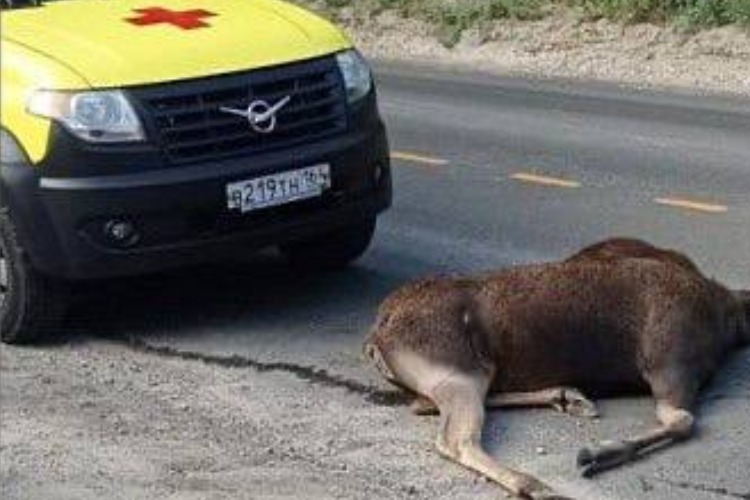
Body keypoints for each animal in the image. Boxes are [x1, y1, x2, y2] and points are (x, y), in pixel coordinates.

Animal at [366, 239, 750, 500]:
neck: (728, 318)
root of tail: (376, 335)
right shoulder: (670, 364)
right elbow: (682, 421)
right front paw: (596, 453)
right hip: (458, 372)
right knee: (456, 438)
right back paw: (536, 483)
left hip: (466, 375)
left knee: (425, 405)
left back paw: (567, 396)